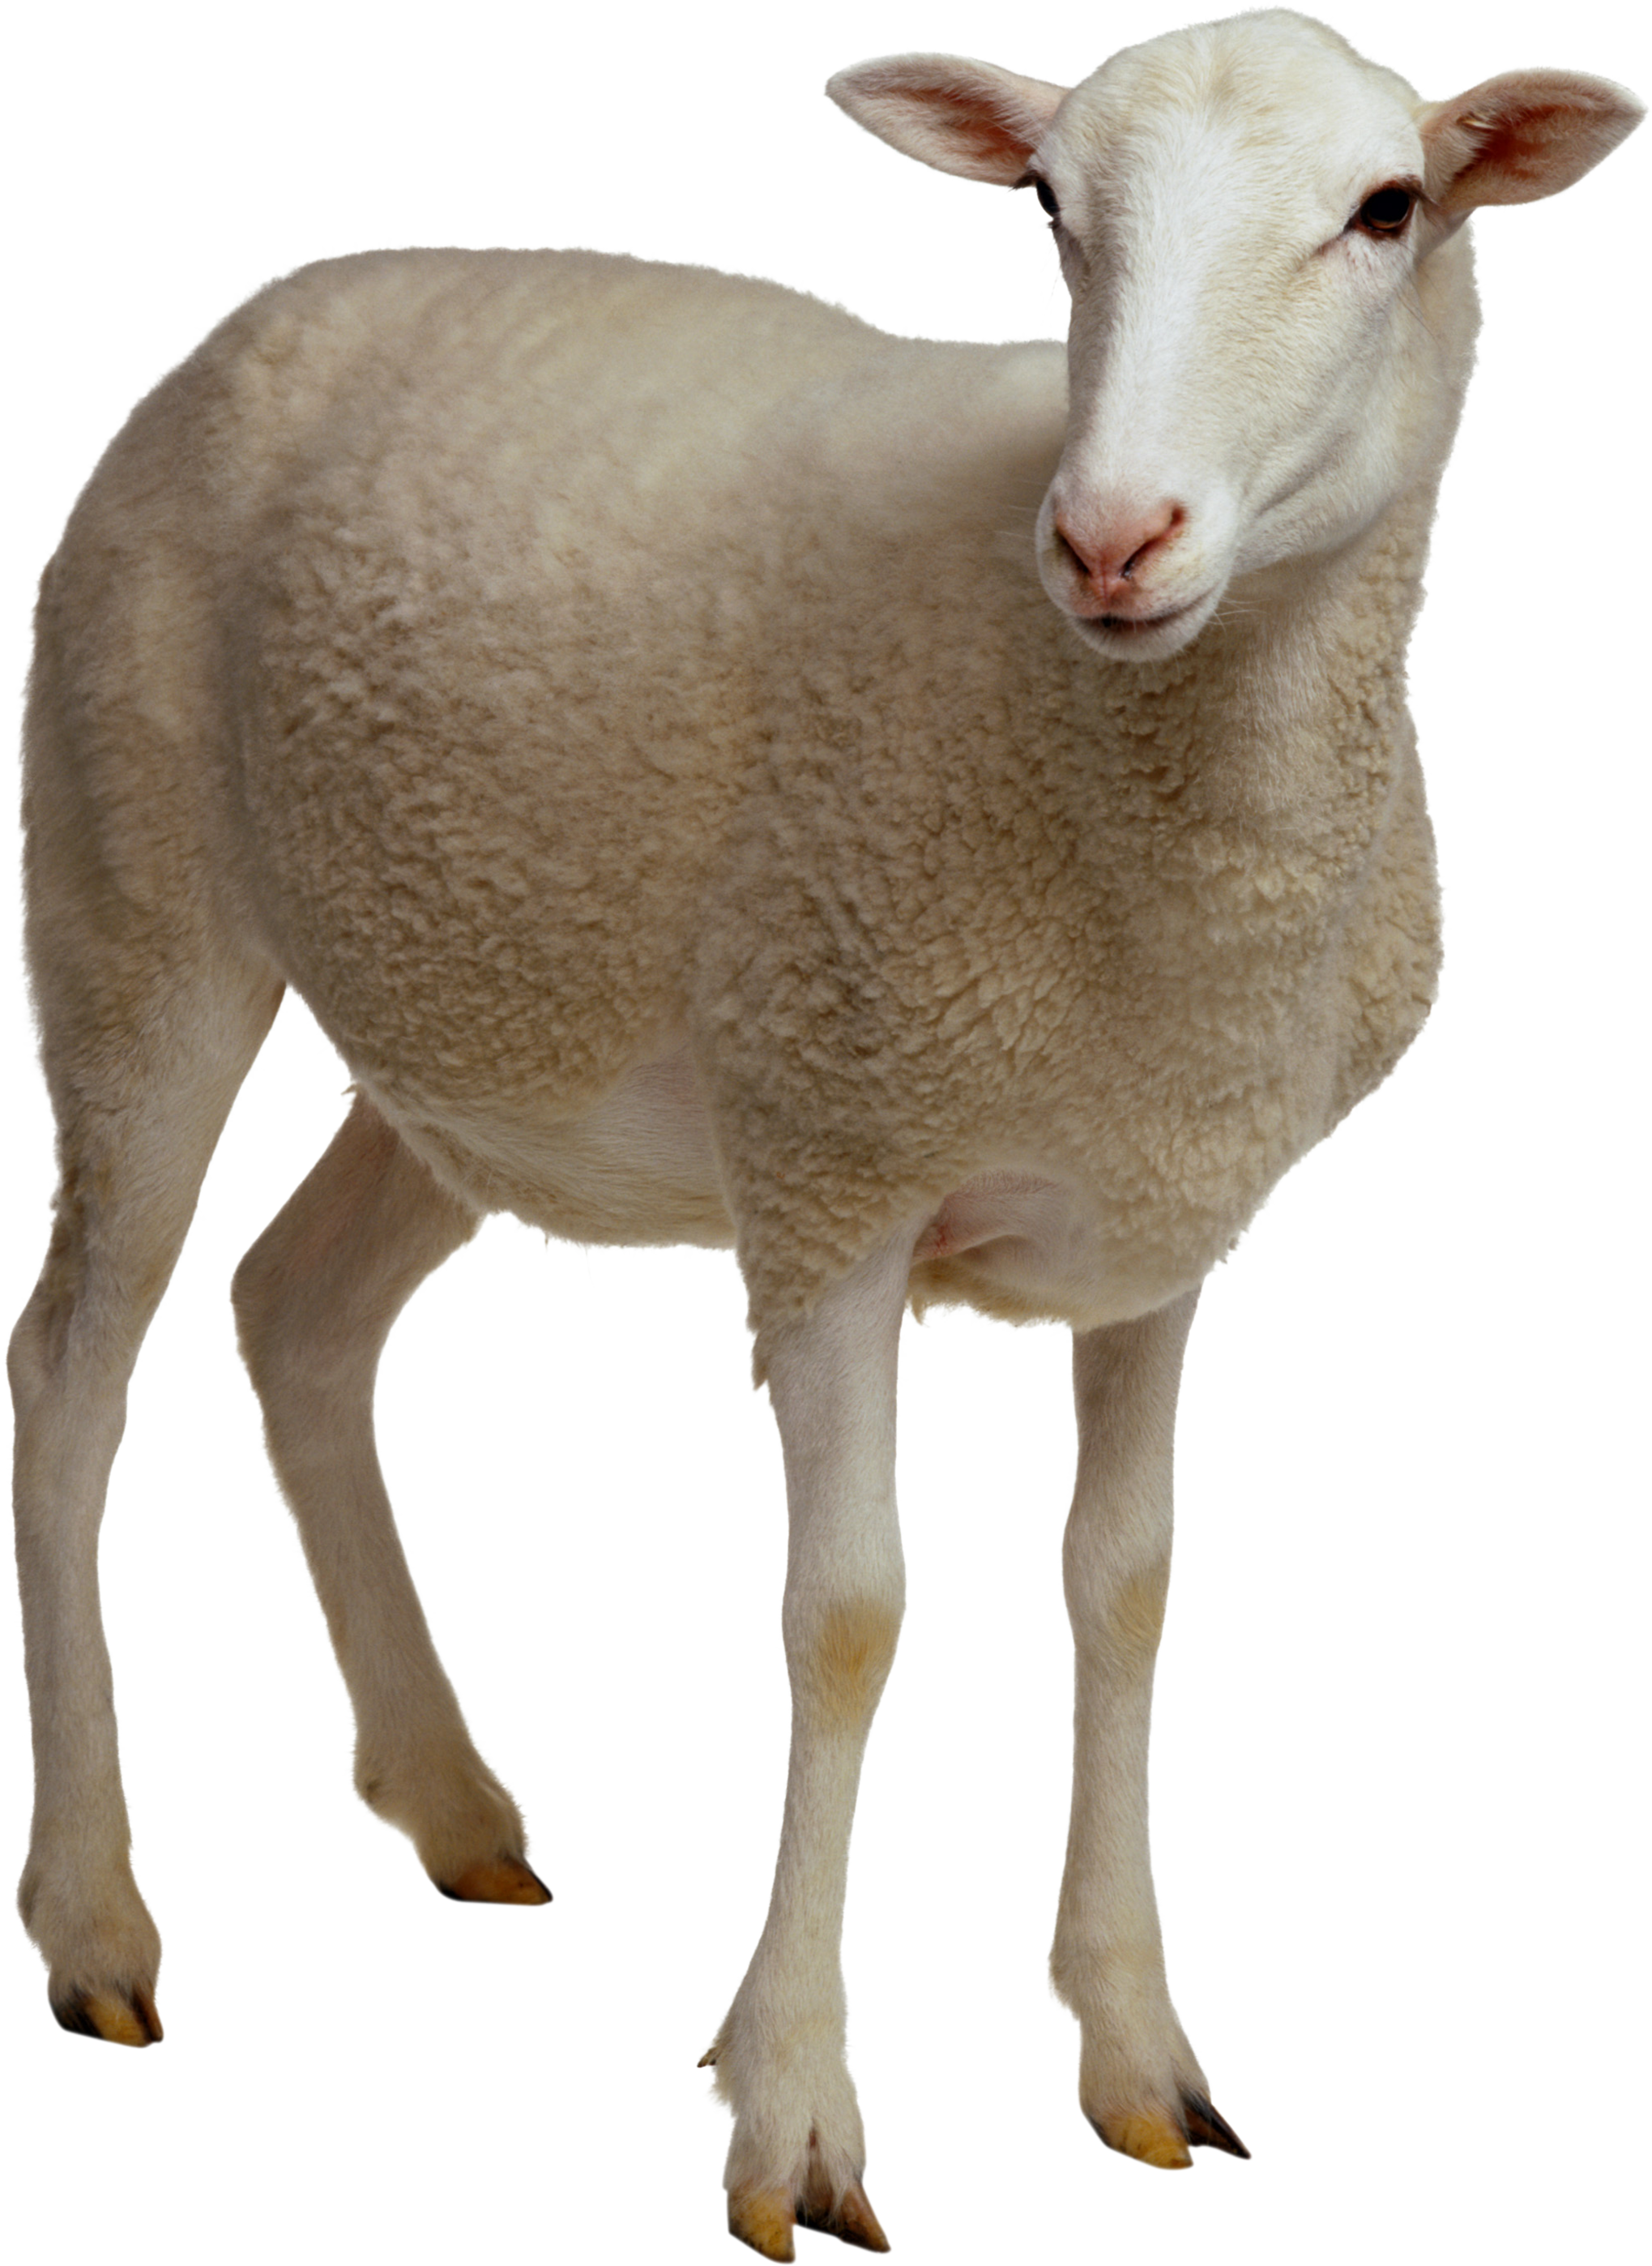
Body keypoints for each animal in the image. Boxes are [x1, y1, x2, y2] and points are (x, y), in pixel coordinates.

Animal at [8, 4, 1644, 2254]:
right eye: (1049, 214)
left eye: (1388, 208)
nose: (1110, 537)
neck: (1131, 771)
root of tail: (289, 294)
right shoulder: (828, 1174)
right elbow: (851, 1616)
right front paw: (790, 2113)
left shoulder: (1161, 1213)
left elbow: (1127, 1582)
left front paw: (1137, 2052)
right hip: (132, 882)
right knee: (73, 1367)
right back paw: (96, 1917)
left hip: (475, 1022)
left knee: (298, 1312)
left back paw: (448, 1800)